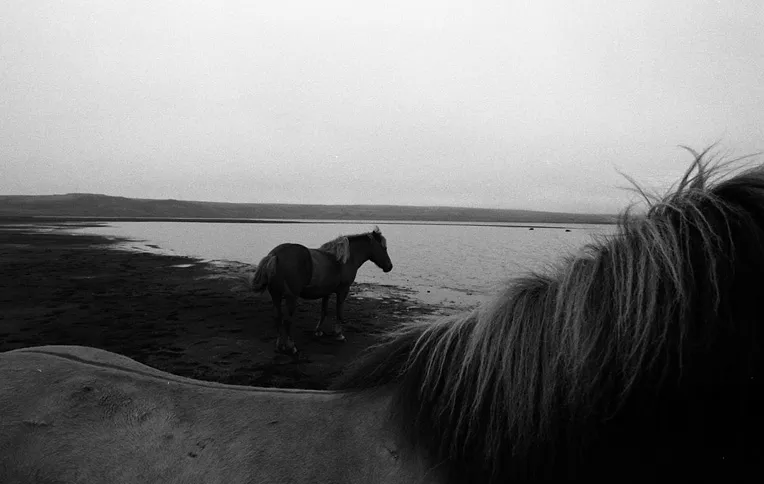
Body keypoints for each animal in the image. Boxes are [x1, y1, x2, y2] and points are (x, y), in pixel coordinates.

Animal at [249, 226, 393, 354]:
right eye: (384, 248)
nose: (389, 266)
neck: (344, 259)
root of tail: (275, 255)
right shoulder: (343, 290)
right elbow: (339, 311)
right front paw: (339, 334)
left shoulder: (326, 292)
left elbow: (324, 311)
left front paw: (318, 331)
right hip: (291, 297)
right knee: (287, 320)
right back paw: (291, 346)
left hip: (276, 296)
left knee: (277, 317)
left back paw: (280, 345)